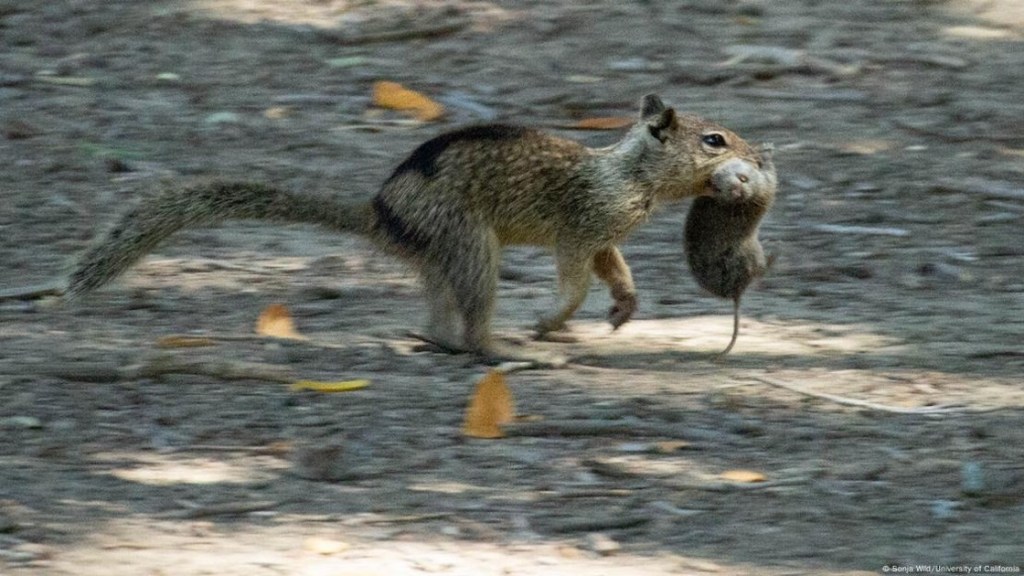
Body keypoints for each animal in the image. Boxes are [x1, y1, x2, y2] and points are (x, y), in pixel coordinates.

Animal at [684, 144, 778, 354]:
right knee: (761, 270)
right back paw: (774, 250)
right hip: (752, 253)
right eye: (718, 188)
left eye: (743, 178)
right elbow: (771, 173)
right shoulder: (767, 188)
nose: (736, 192)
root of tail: (736, 292)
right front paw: (766, 151)